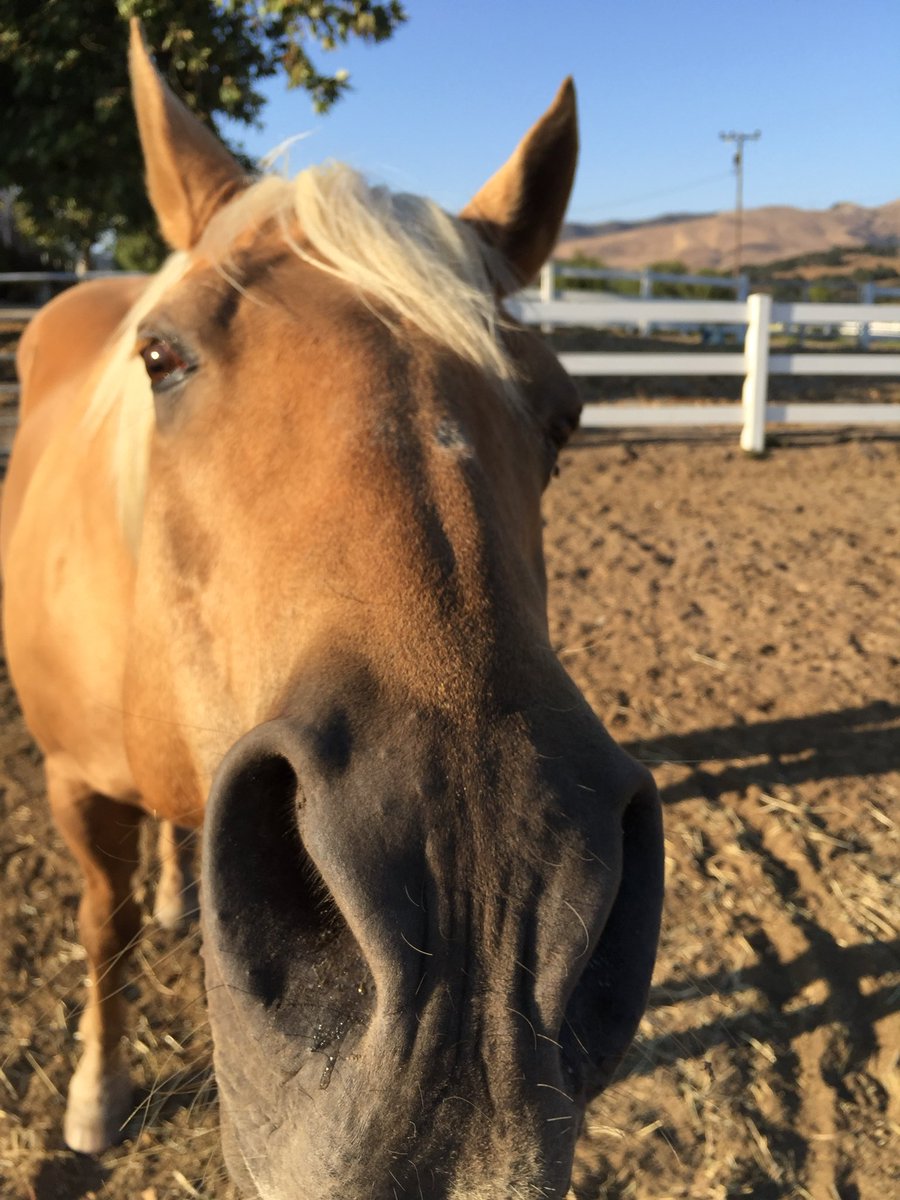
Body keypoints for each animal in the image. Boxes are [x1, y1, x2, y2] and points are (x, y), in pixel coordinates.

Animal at [1, 20, 663, 1199]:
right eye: (160, 355)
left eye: (565, 415)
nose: (479, 921)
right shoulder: (72, 781)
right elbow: (101, 926)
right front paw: (95, 1093)